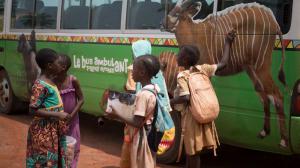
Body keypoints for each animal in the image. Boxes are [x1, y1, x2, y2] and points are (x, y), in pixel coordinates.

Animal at [162, 0, 288, 147]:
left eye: (177, 13)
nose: (162, 24)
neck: (194, 32)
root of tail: (275, 23)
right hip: (251, 69)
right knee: (263, 94)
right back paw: (264, 132)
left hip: (261, 65)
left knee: (276, 95)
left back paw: (283, 141)